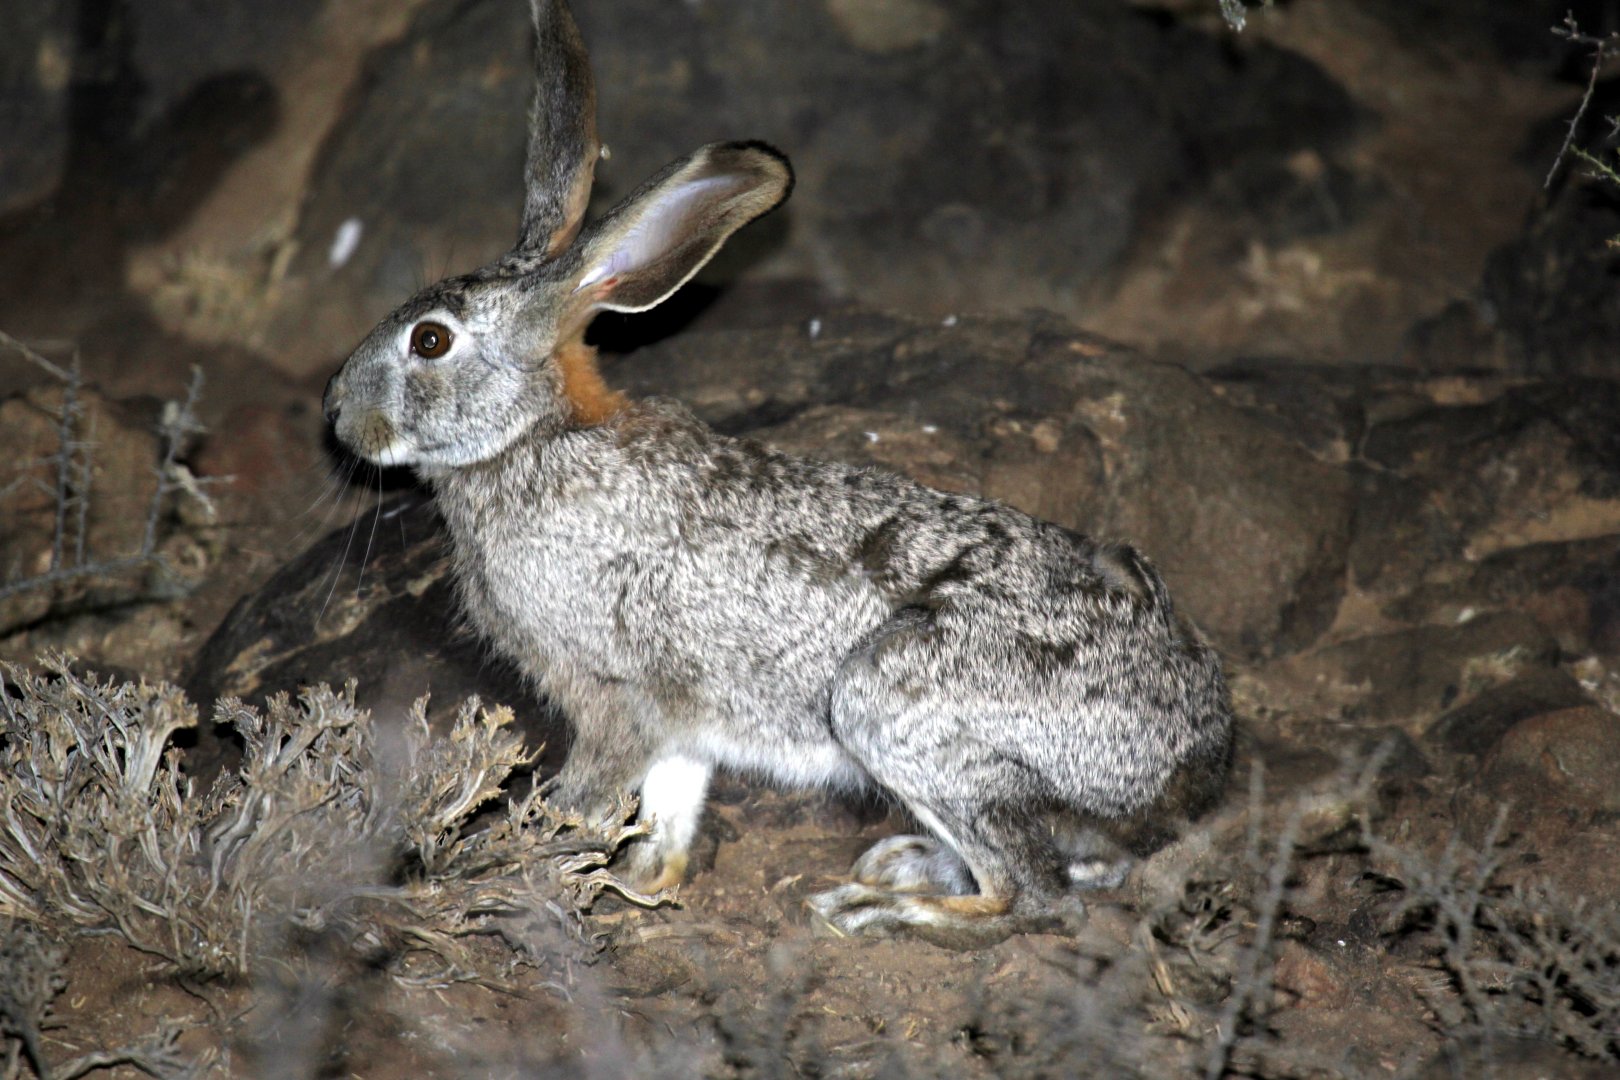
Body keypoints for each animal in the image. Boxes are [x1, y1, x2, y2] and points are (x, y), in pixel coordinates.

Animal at [322, 0, 1233, 948]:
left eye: (430, 341)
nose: (338, 414)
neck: (528, 437)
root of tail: (1197, 754)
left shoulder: (612, 693)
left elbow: (587, 795)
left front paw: (509, 868)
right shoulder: (683, 724)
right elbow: (670, 807)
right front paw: (640, 884)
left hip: (889, 702)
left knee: (1037, 896)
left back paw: (880, 907)